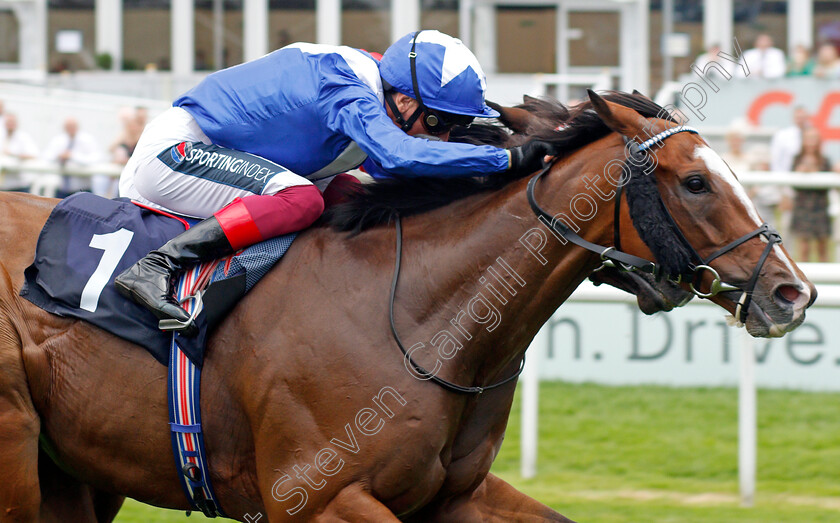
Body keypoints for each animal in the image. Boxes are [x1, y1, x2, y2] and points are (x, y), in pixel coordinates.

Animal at [0, 92, 812, 520]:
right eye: (696, 182)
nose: (792, 291)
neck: (421, 318)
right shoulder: (315, 495)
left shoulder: (454, 495)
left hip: (80, 467)